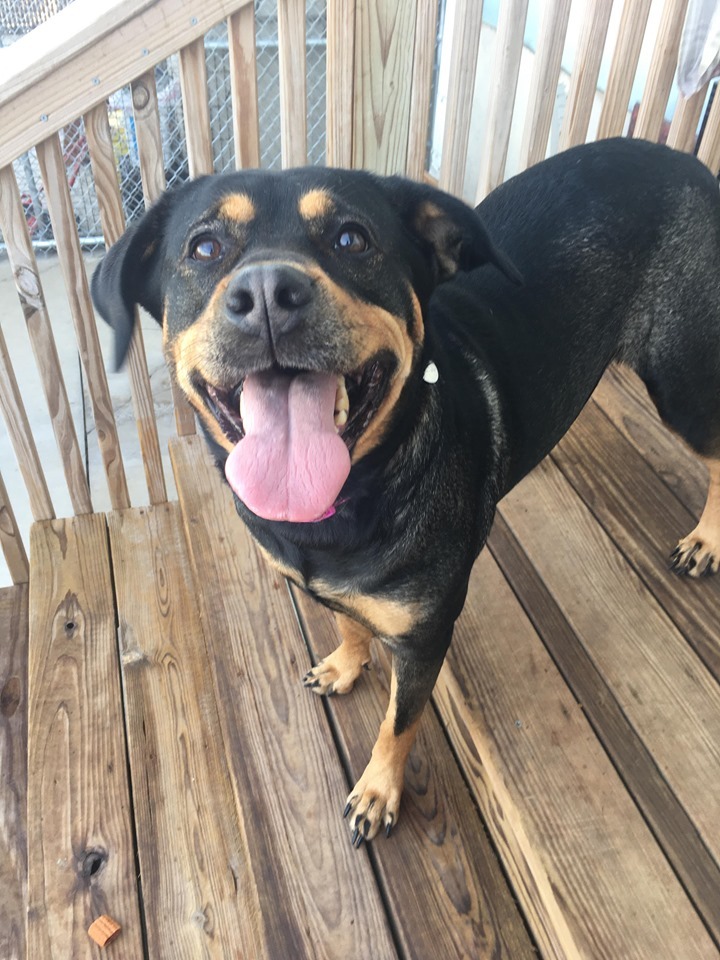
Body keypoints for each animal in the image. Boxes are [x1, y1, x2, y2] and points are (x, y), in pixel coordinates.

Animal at [93, 137, 720, 848]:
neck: (337, 511)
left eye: (351, 239)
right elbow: (347, 618)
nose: (268, 293)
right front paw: (345, 662)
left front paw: (377, 791)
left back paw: (705, 539)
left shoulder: (426, 638)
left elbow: (399, 721)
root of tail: (684, 160)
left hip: (679, 378)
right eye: (203, 248)